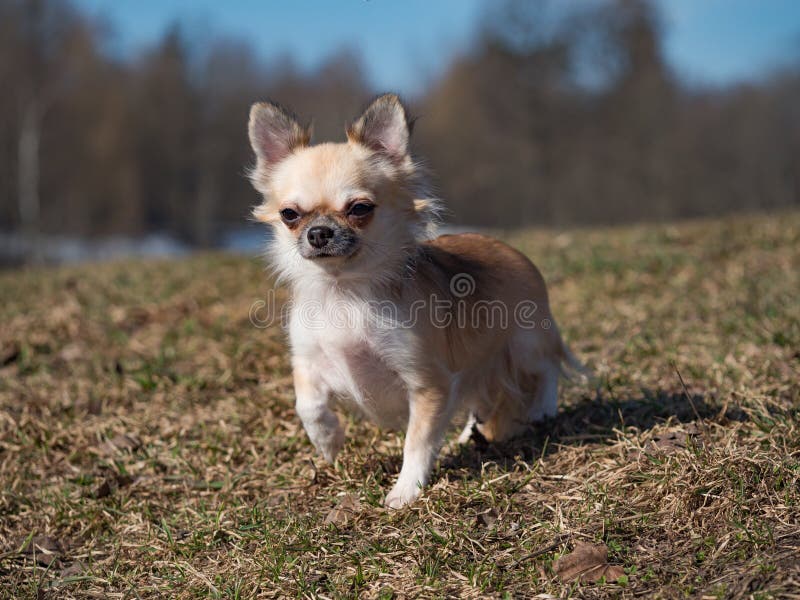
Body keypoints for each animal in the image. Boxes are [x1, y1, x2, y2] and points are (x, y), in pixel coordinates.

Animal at [247, 92, 584, 506]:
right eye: (290, 214)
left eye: (359, 209)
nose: (319, 232)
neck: (345, 290)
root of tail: (513, 252)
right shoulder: (308, 361)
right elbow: (307, 404)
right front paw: (328, 441)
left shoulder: (428, 383)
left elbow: (417, 442)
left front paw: (405, 491)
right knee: (481, 399)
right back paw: (469, 435)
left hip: (525, 343)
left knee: (547, 366)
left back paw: (543, 409)